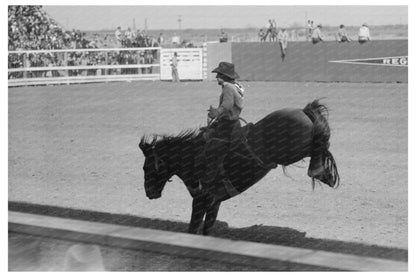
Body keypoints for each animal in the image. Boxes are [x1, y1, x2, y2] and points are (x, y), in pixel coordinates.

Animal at [138, 98, 340, 234]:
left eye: (146, 168)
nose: (149, 193)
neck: (194, 158)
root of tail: (303, 111)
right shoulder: (214, 202)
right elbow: (207, 229)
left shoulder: (201, 200)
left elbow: (193, 229)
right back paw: (326, 175)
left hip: (291, 153)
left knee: (320, 145)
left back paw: (318, 171)